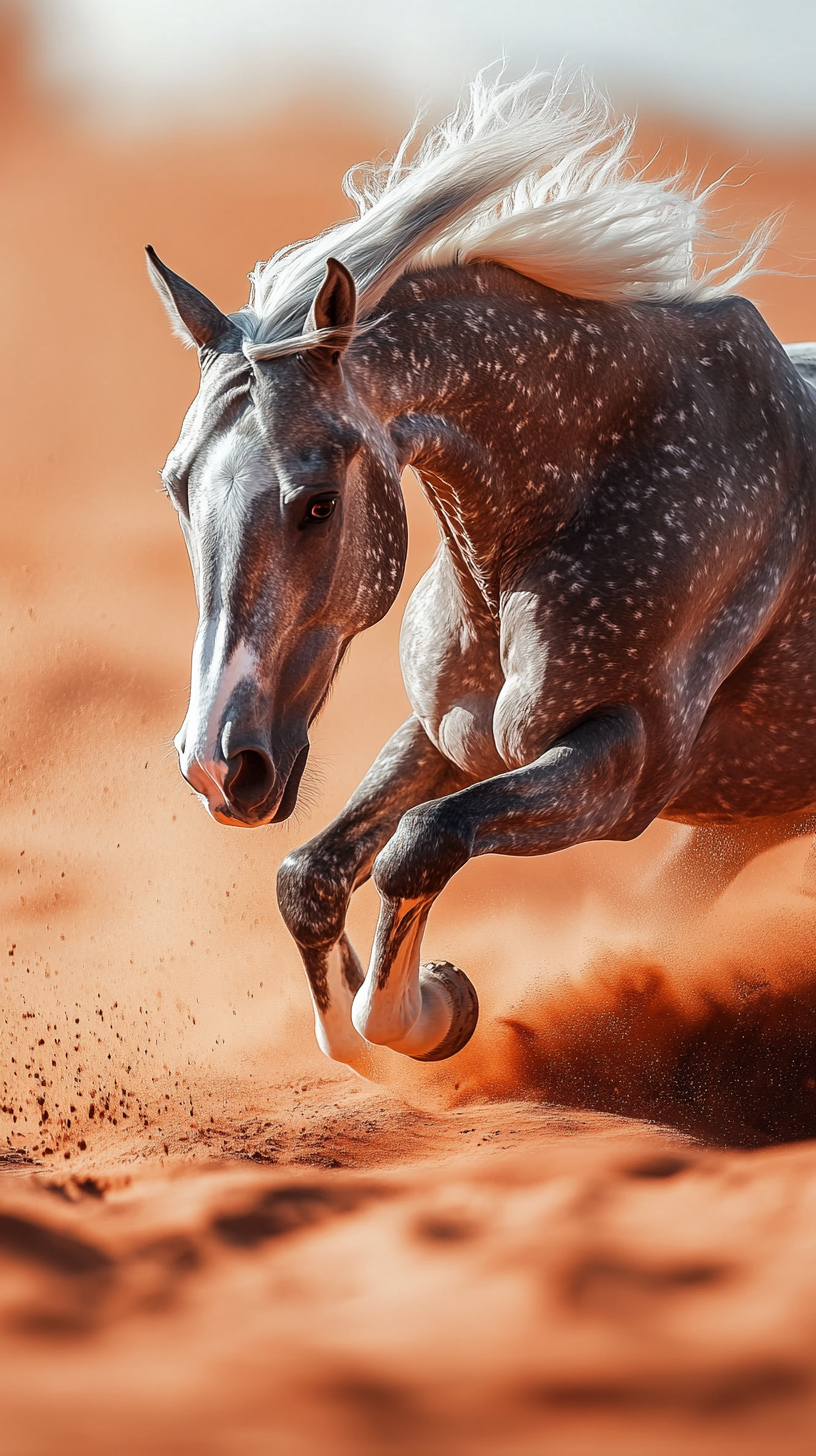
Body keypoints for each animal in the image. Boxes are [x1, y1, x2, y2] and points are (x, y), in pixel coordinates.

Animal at [146, 70, 816, 1071]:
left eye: (317, 501)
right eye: (177, 487)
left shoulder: (623, 764)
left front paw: (432, 1008)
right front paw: (371, 1016)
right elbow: (310, 874)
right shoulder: (447, 737)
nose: (219, 769)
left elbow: (420, 845)